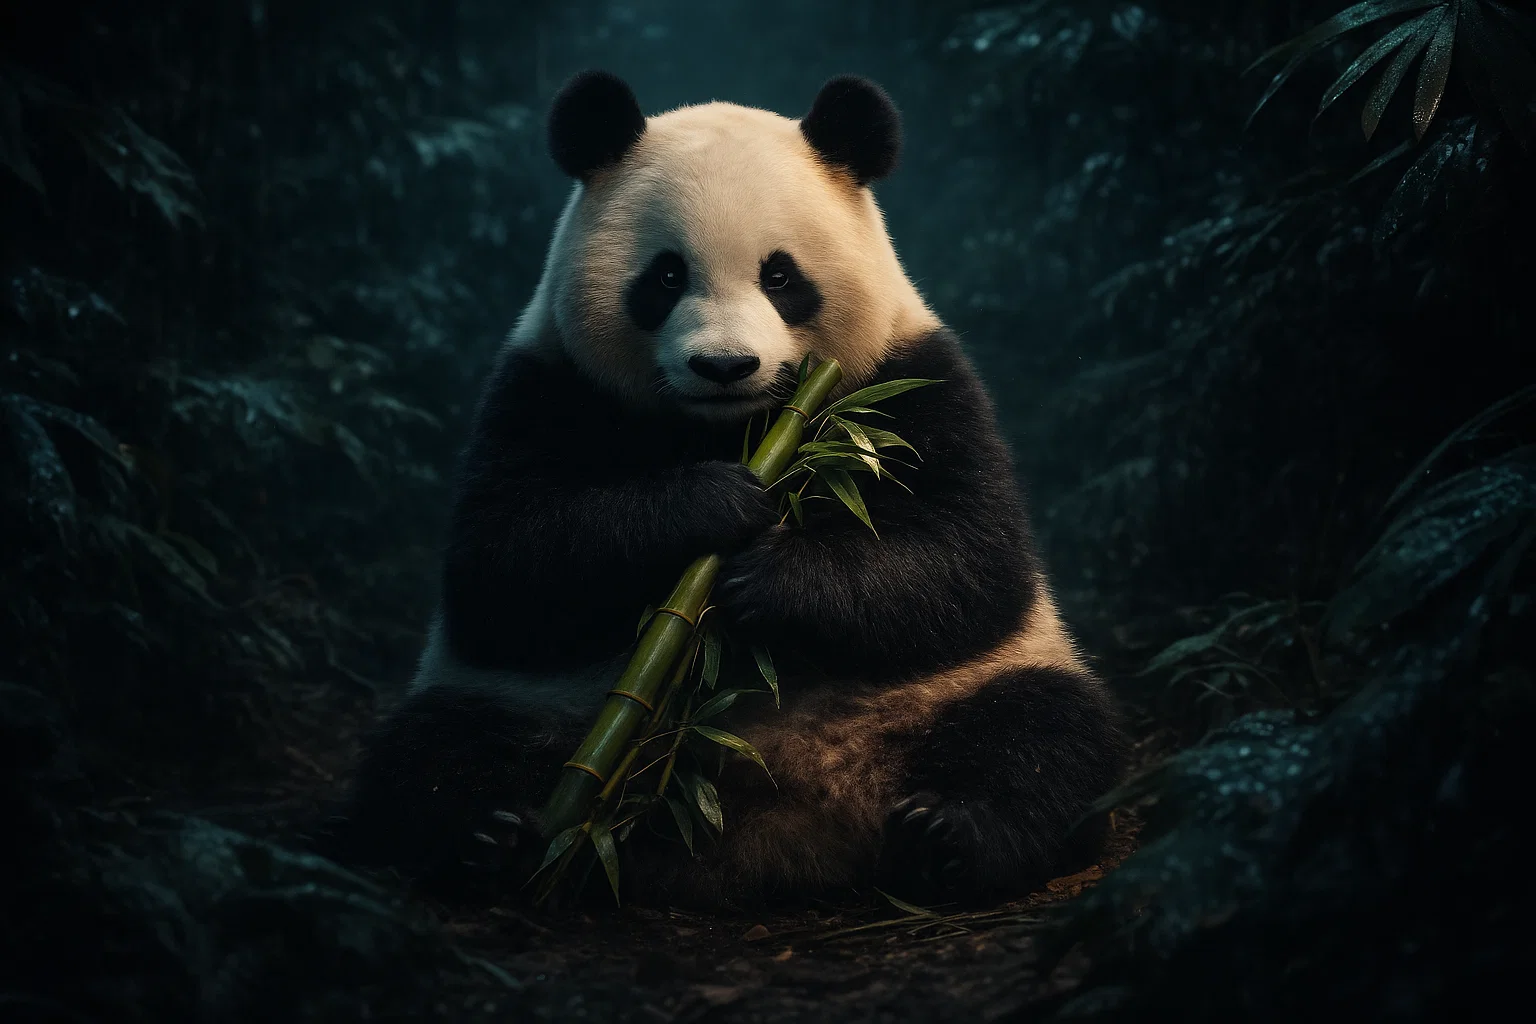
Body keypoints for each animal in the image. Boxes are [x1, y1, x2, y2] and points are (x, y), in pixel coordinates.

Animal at [341, 70, 1128, 910]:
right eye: (665, 276)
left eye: (780, 276)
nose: (724, 367)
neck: (733, 429)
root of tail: (785, 817)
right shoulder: (548, 385)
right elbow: (504, 563)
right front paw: (711, 505)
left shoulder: (905, 380)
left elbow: (969, 555)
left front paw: (770, 578)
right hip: (531, 708)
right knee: (429, 752)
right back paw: (490, 838)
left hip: (958, 689)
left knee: (1048, 738)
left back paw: (950, 836)